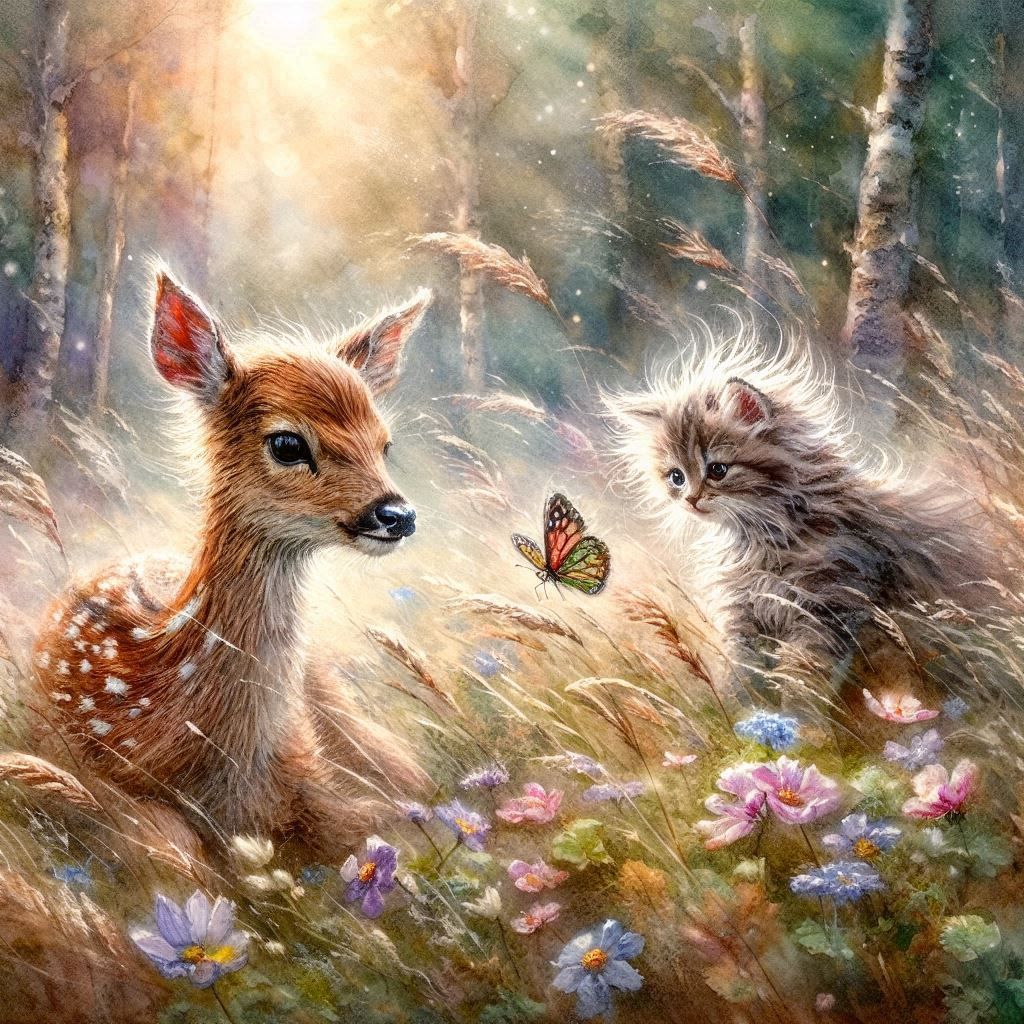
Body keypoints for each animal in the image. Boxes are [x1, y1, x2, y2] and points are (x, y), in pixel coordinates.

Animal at [29, 271, 432, 864]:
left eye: (385, 443)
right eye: (287, 443)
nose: (396, 515)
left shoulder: (305, 763)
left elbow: (384, 822)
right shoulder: (89, 773)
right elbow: (175, 855)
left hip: (326, 688)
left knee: (407, 767)